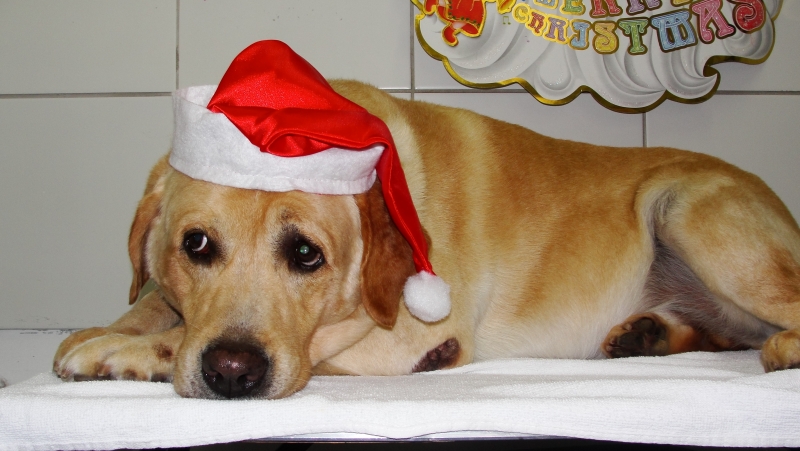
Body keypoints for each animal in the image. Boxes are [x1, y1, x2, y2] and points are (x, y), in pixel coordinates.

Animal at [51, 79, 800, 400]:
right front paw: (105, 328)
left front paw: (121, 351)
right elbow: (151, 299)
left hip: (693, 214)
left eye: (306, 254)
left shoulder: (400, 338)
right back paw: (646, 334)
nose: (233, 373)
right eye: (197, 245)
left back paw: (778, 347)